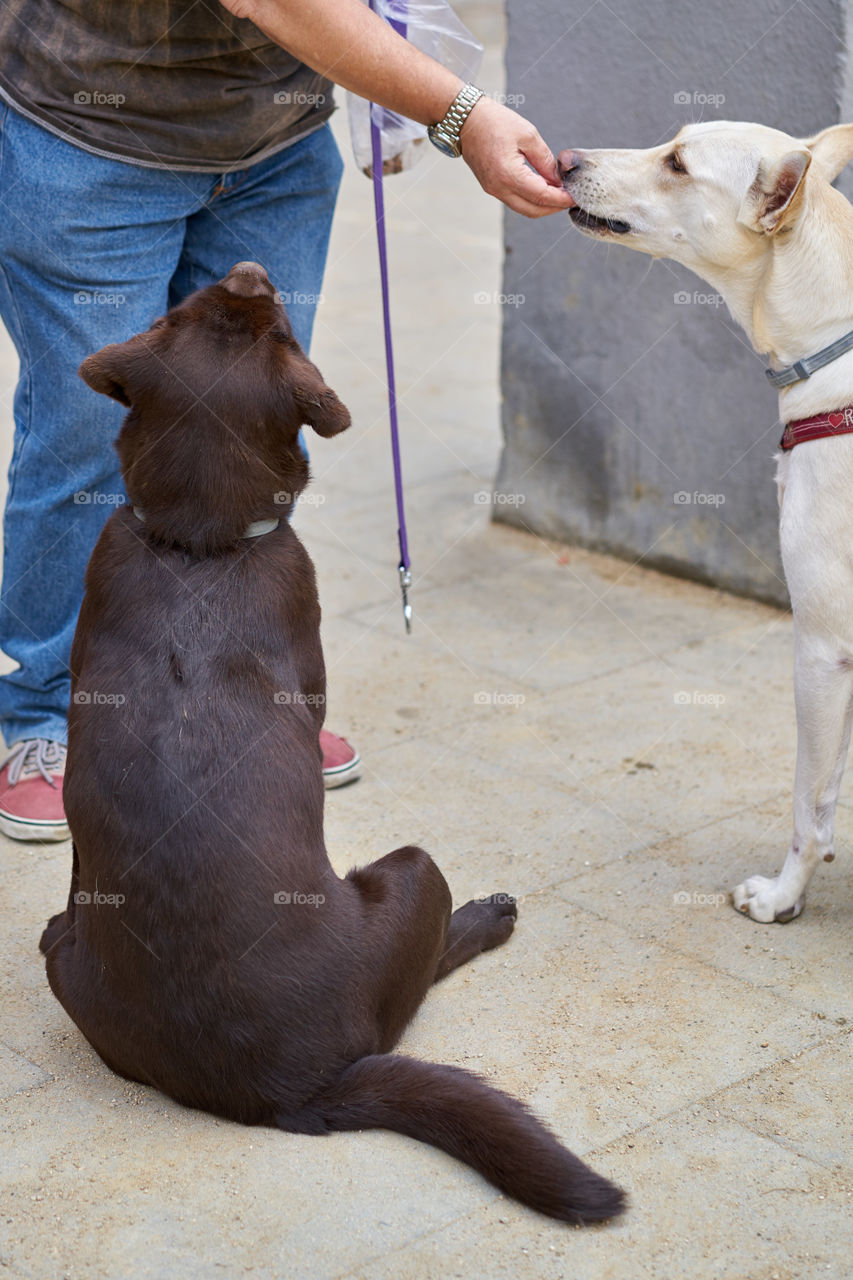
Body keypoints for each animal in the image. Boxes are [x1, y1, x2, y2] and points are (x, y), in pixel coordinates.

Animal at [38, 257, 625, 1218]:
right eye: (282, 329)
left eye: (186, 306)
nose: (247, 273)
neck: (198, 547)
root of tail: (296, 1090)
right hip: (416, 871)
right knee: (419, 976)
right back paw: (486, 917)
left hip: (59, 950)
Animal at [555, 120, 853, 921]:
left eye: (679, 165)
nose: (563, 159)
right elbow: (829, 793)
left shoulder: (821, 650)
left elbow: (807, 805)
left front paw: (782, 896)